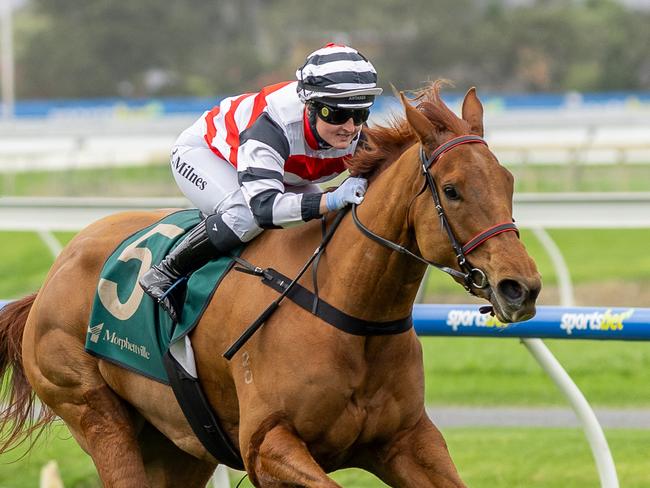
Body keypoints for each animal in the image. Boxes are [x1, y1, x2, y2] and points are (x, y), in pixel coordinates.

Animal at [0, 82, 536, 486]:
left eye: (508, 182)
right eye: (452, 190)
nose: (521, 287)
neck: (347, 311)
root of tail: (51, 278)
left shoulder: (406, 440)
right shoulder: (266, 446)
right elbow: (258, 203)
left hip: (178, 445)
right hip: (96, 414)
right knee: (239, 211)